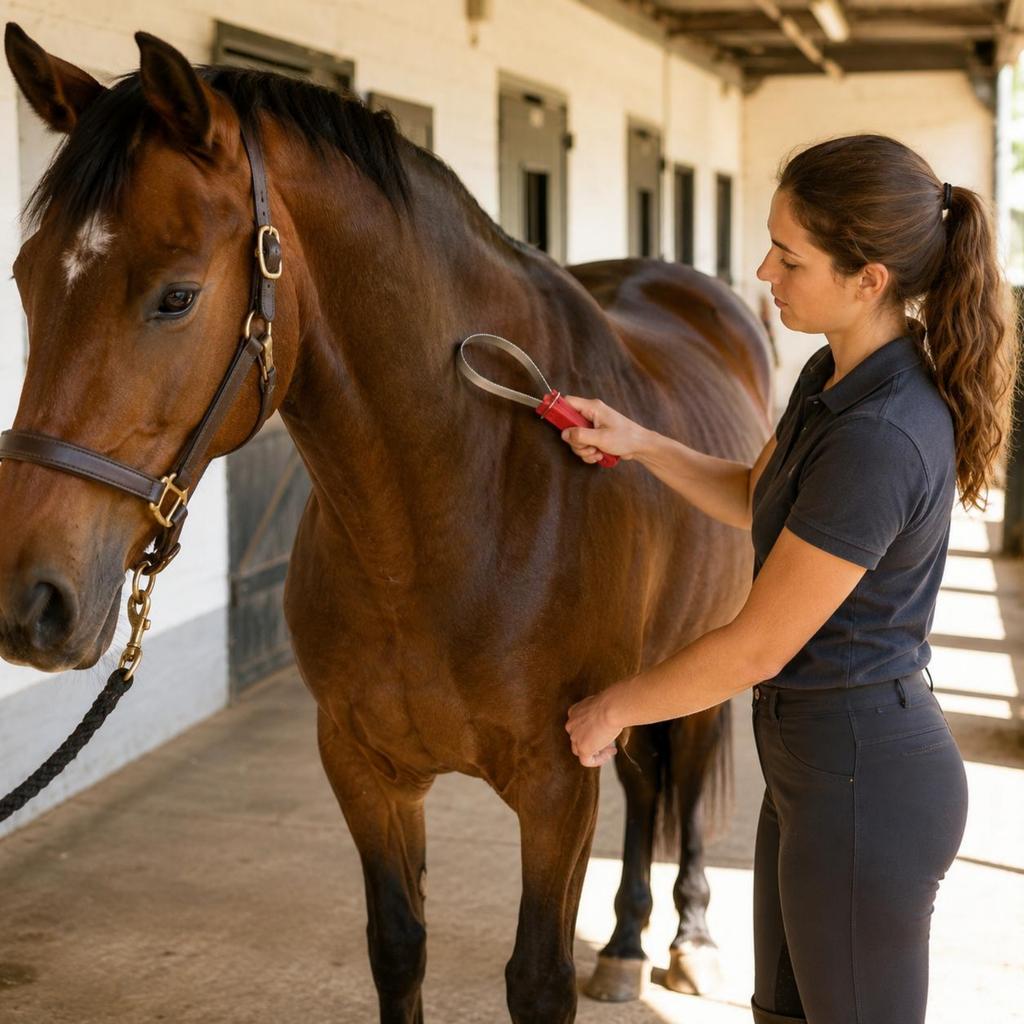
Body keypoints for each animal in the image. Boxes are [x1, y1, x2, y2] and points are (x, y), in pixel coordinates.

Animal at [0, 26, 771, 1023]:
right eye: (24, 279)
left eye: (176, 296)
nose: (30, 601)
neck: (457, 513)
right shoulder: (363, 768)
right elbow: (399, 946)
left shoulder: (558, 786)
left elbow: (537, 978)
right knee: (648, 781)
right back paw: (627, 943)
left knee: (692, 776)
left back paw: (691, 937)